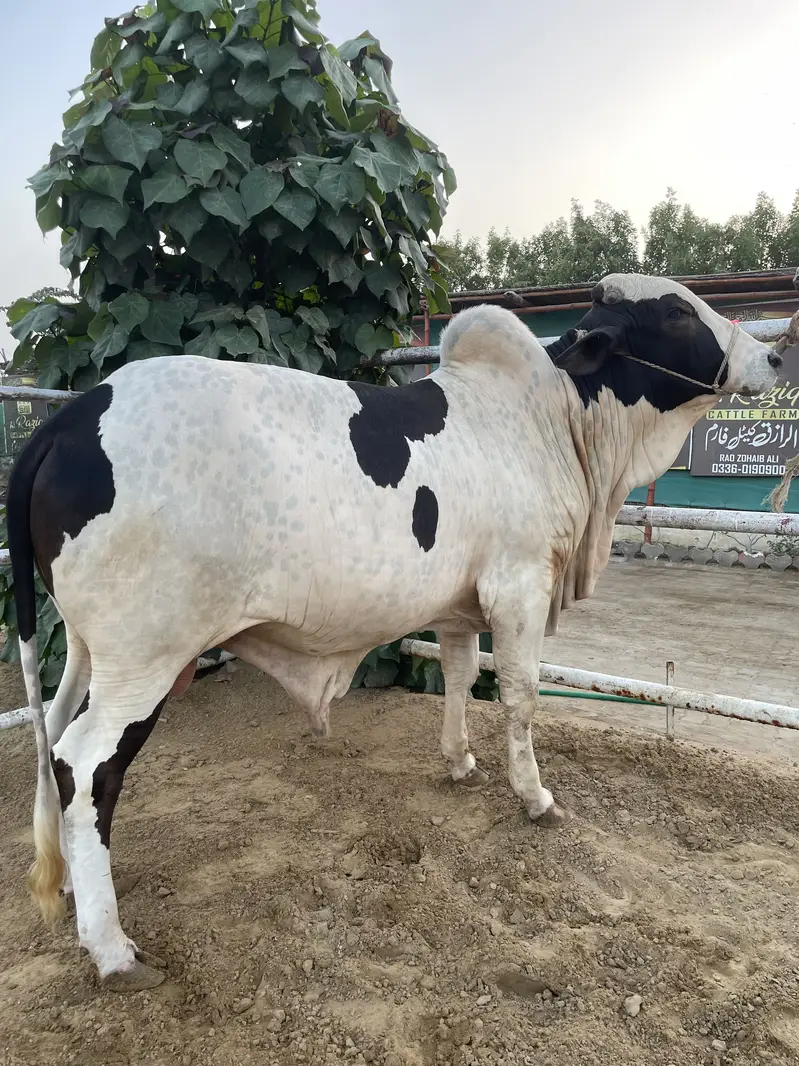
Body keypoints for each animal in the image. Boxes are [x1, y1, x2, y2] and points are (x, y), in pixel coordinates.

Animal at [7, 273, 780, 992]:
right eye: (676, 311)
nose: (773, 355)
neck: (552, 420)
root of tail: (71, 416)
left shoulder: (460, 605)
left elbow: (461, 676)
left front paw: (460, 762)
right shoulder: (519, 586)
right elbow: (520, 694)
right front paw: (534, 797)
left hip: (87, 649)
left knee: (53, 740)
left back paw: (71, 882)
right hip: (147, 658)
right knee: (88, 764)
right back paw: (111, 947)